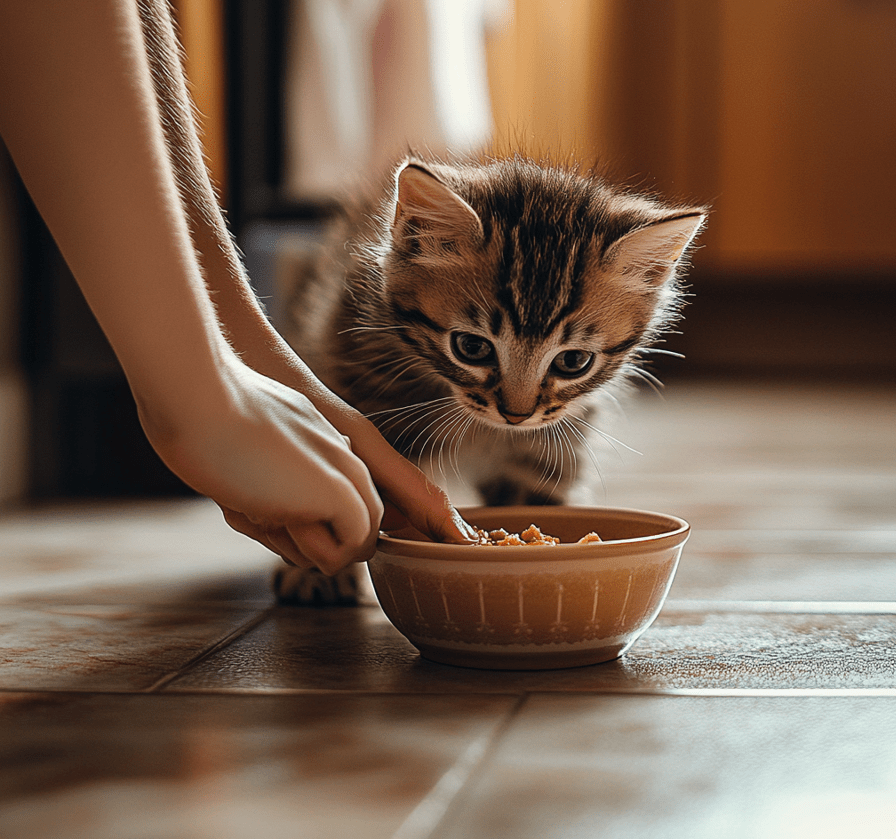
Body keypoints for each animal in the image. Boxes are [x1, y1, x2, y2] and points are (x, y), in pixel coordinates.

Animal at [272, 154, 708, 608]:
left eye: (573, 361)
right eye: (471, 347)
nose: (516, 415)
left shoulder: (546, 449)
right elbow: (340, 485)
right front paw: (316, 569)